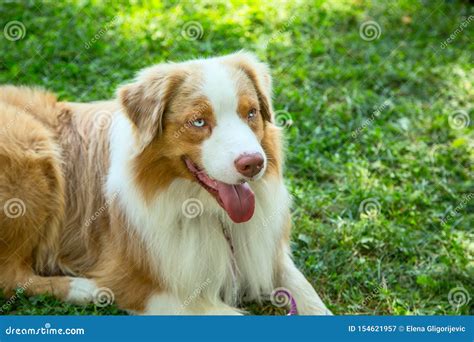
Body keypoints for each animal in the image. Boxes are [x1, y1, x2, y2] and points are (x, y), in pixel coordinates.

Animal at [0, 51, 332, 316]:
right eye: (198, 122)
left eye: (250, 113)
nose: (253, 164)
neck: (207, 210)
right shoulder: (142, 283)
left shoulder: (263, 253)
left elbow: (307, 293)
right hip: (32, 149)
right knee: (10, 276)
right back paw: (86, 290)